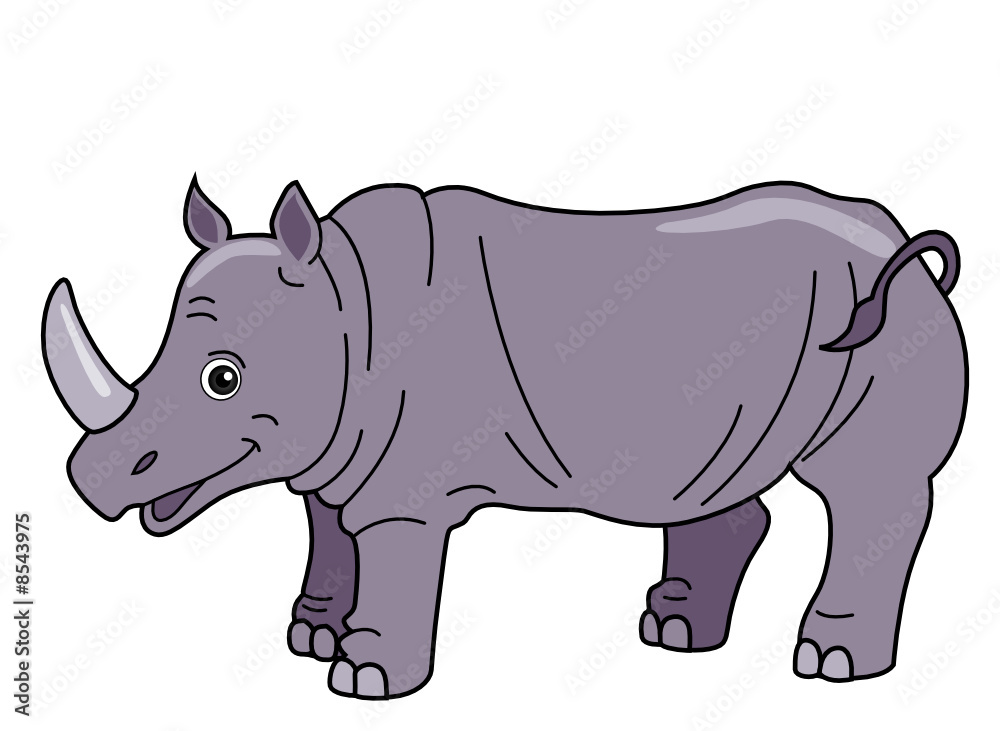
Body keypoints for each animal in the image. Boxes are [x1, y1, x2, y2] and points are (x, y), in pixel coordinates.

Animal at [42, 177, 967, 698]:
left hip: (881, 320)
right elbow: (328, 532)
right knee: (718, 477)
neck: (343, 309)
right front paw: (310, 639)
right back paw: (672, 633)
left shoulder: (405, 488)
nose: (91, 478)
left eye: (222, 378)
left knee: (867, 489)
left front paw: (365, 678)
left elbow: (387, 553)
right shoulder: (337, 456)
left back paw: (830, 663)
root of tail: (896, 238)